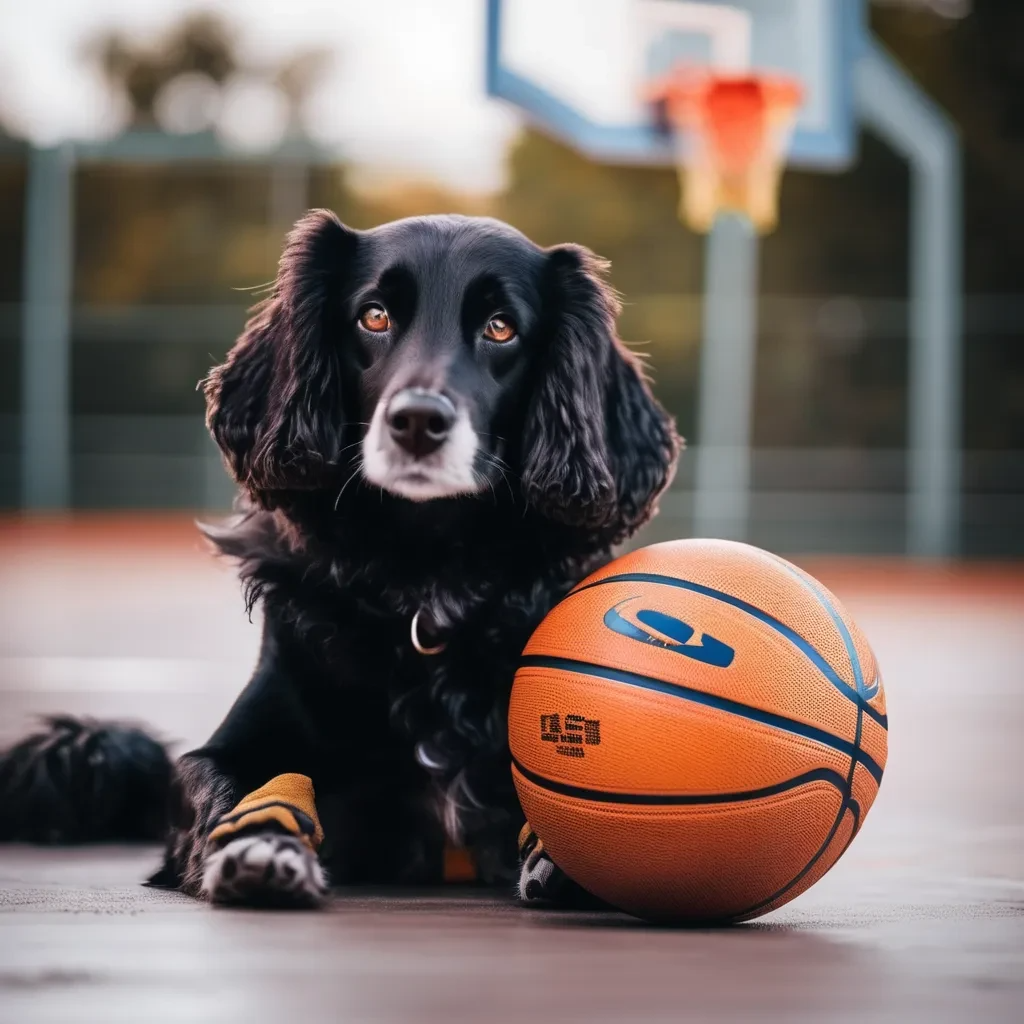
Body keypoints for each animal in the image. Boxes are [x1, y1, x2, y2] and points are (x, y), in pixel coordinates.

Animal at [0, 211, 679, 909]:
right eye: (373, 316)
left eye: (500, 327)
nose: (417, 422)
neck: (425, 579)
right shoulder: (237, 742)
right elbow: (222, 785)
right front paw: (261, 842)